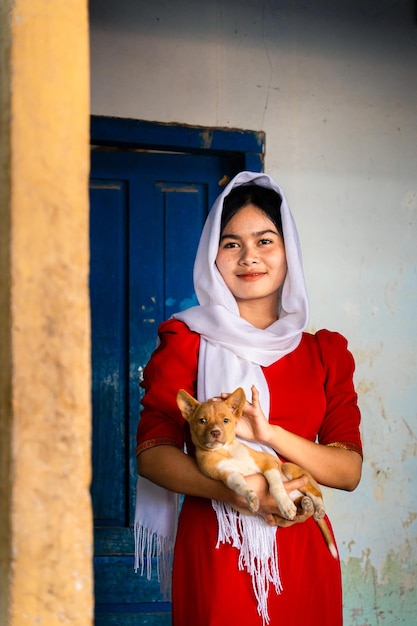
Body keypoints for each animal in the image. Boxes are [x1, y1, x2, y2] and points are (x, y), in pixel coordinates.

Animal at [177, 386, 336, 556]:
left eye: (225, 420)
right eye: (202, 421)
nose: (215, 433)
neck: (225, 451)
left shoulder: (267, 464)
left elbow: (275, 487)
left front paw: (285, 504)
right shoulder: (228, 475)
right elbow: (241, 486)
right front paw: (251, 498)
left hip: (289, 469)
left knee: (315, 493)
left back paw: (317, 508)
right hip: (279, 517)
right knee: (300, 503)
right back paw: (305, 504)